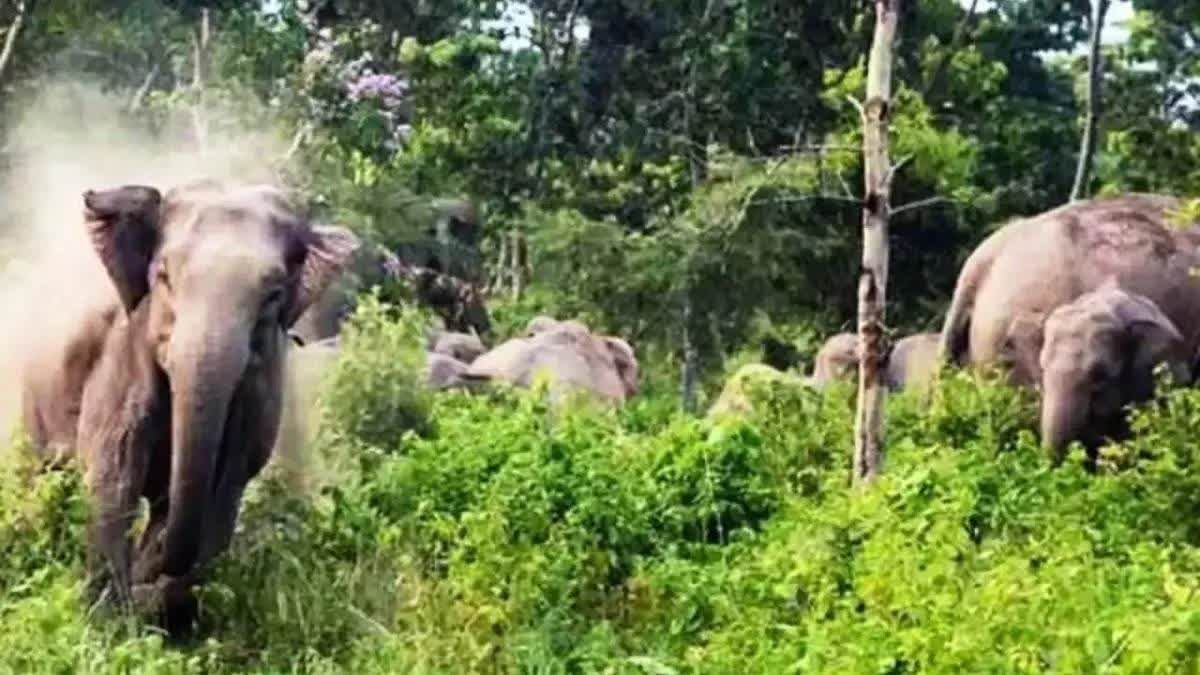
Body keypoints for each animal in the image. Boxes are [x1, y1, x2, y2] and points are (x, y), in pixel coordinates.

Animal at [22, 180, 355, 629]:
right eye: (163, 276)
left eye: (273, 296)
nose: (145, 580)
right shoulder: (123, 353)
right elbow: (114, 470)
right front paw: (110, 622)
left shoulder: (262, 387)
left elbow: (227, 484)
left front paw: (157, 605)